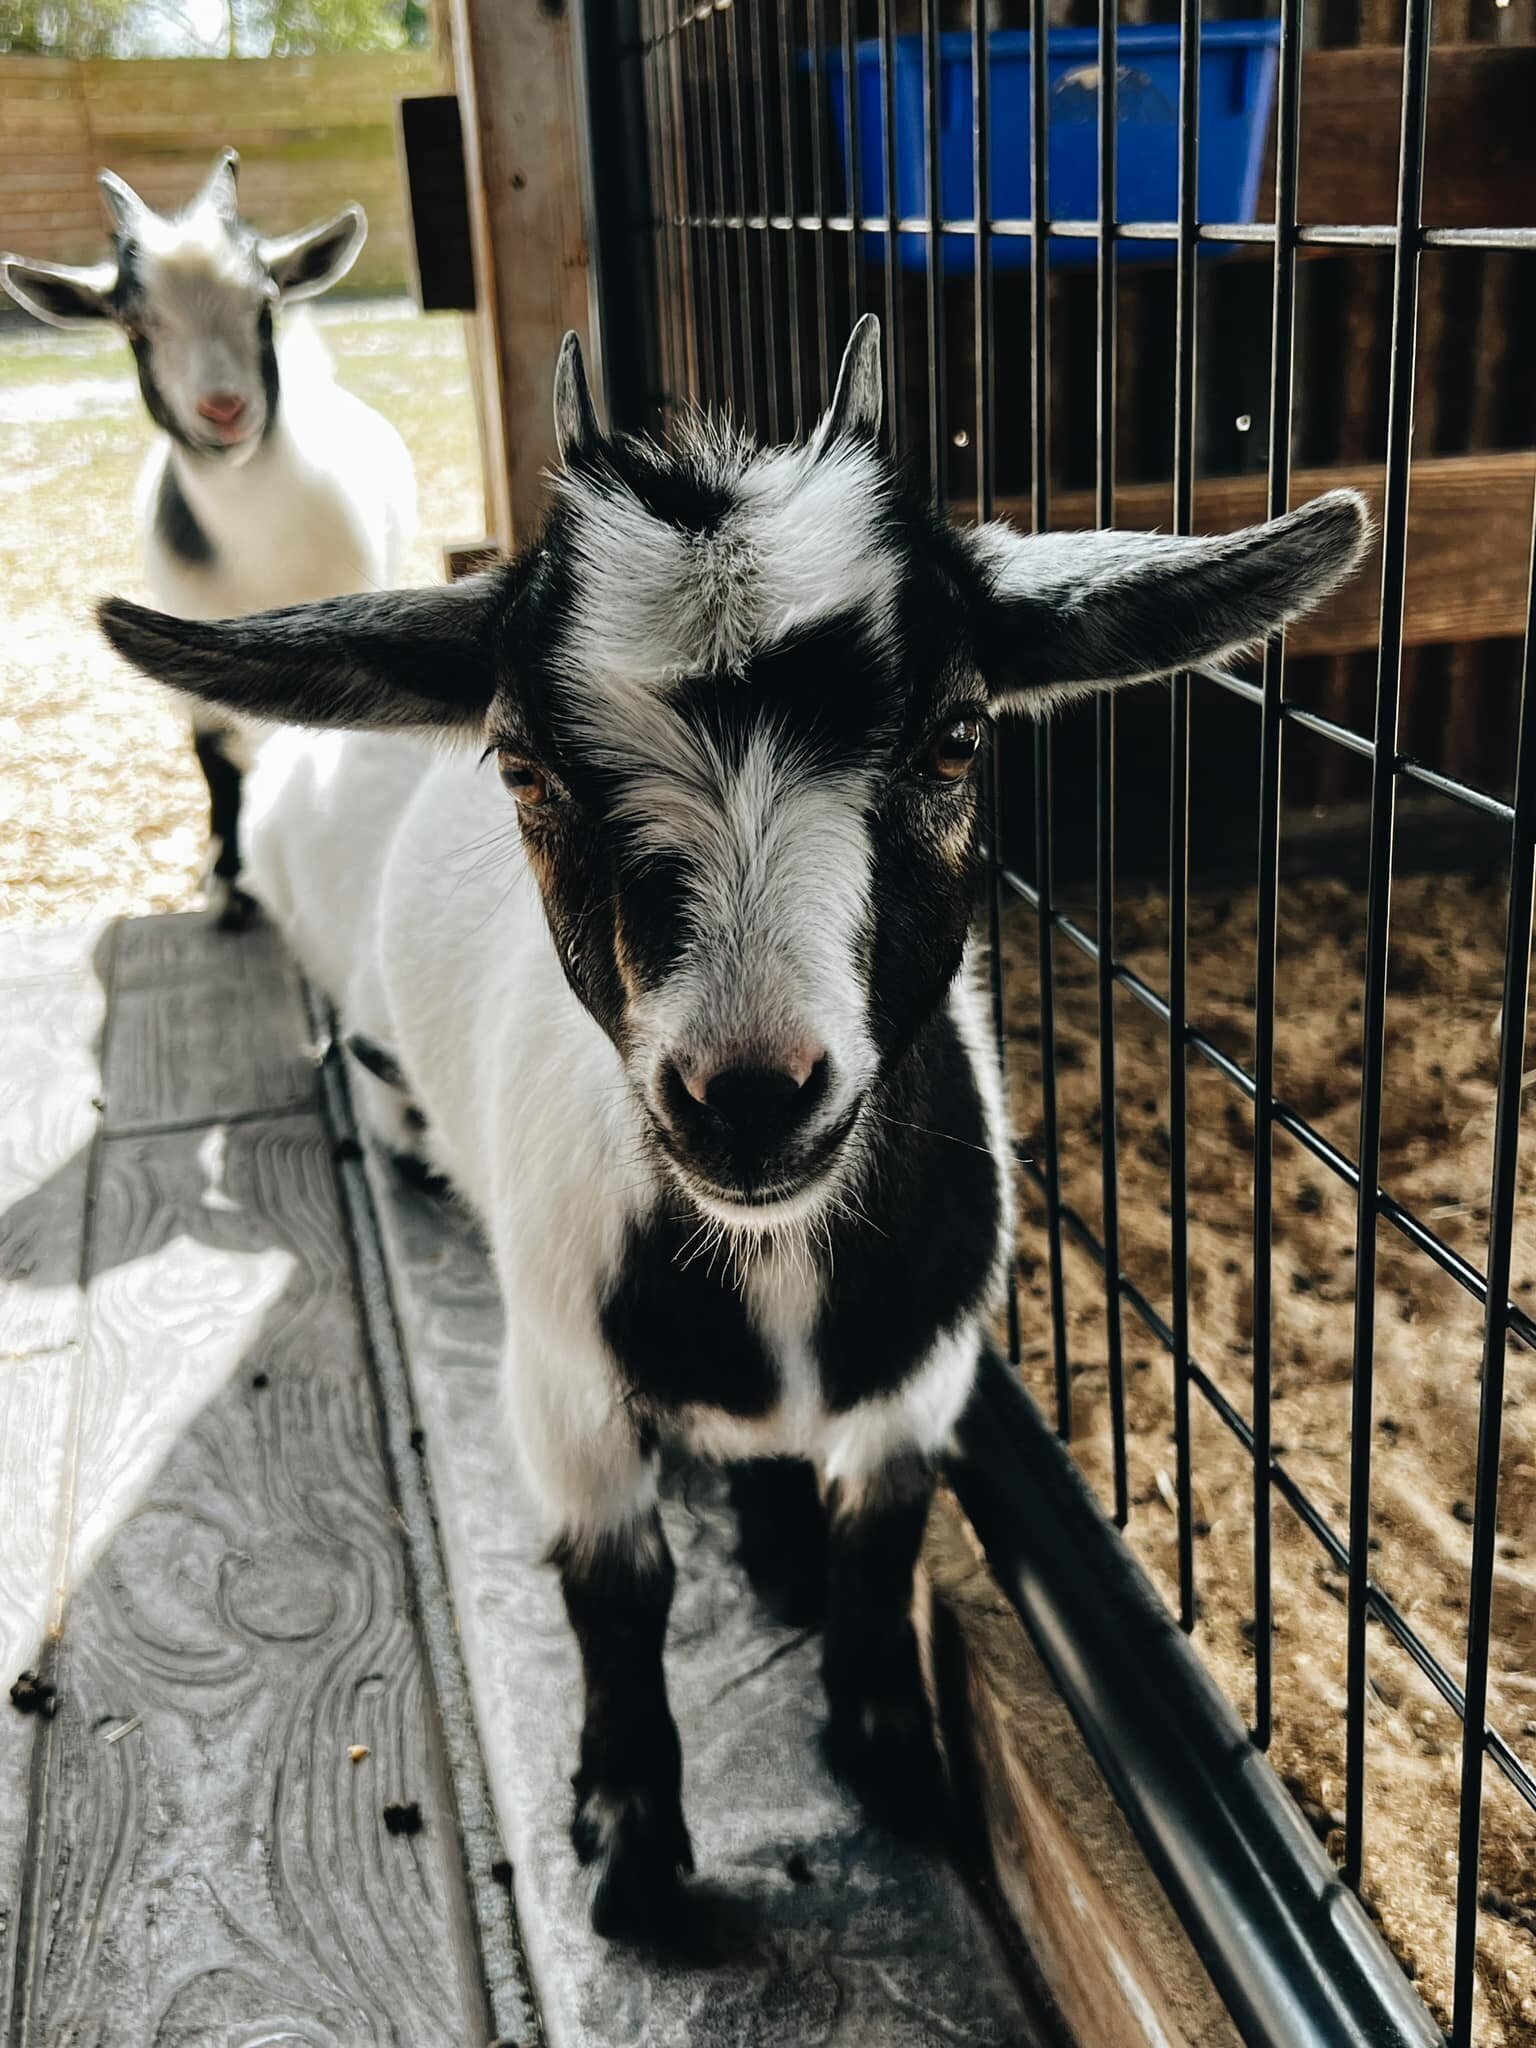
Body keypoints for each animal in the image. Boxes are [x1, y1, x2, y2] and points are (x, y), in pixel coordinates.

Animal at [99, 316, 1368, 1943]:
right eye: (524, 766)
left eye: (957, 738)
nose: (754, 1095)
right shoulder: (562, 1383)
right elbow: (613, 1591)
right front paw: (633, 1844)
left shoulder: (920, 1375)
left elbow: (878, 1544)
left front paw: (892, 1756)